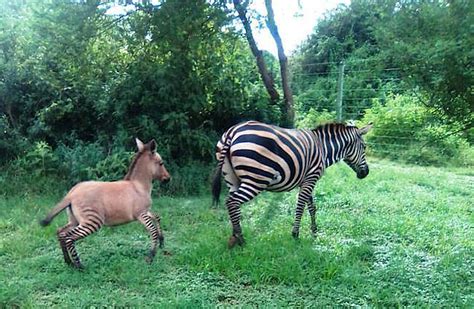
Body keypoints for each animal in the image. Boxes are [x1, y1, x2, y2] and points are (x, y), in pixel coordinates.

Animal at [213, 120, 372, 248]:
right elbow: (301, 207)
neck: (323, 148)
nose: (366, 173)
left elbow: (312, 207)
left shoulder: (307, 180)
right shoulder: (311, 178)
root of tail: (232, 132)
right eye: (364, 147)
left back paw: (234, 237)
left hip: (232, 179)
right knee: (232, 202)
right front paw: (295, 234)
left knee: (233, 206)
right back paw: (241, 240)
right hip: (256, 179)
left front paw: (314, 232)